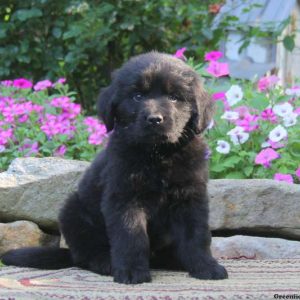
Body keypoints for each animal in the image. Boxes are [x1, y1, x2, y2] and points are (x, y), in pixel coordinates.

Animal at [1, 51, 227, 284]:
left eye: (174, 97)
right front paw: (131, 271)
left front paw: (205, 266)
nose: (154, 119)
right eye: (137, 96)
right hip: (73, 212)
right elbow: (131, 235)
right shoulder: (124, 196)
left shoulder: (190, 196)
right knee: (86, 255)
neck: (158, 155)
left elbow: (196, 236)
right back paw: (106, 262)